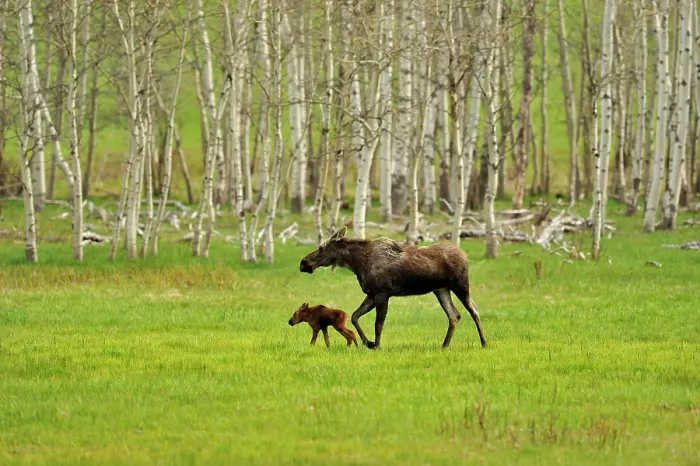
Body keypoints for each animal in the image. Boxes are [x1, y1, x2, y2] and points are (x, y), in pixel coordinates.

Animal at [298, 226, 487, 350]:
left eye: (321, 247)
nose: (303, 263)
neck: (357, 264)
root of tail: (466, 256)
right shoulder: (371, 294)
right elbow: (354, 316)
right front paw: (368, 342)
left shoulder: (382, 293)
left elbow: (378, 323)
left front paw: (377, 345)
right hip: (440, 289)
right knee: (454, 315)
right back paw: (445, 345)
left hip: (460, 285)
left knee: (474, 309)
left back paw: (484, 342)